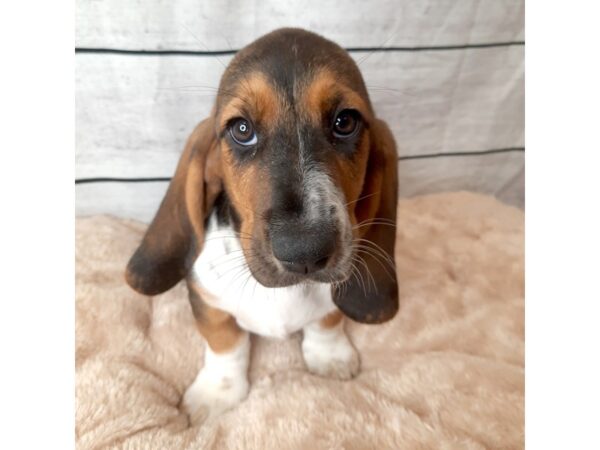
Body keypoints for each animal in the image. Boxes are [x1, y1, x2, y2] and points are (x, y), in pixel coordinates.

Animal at [125, 29, 398, 426]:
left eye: (345, 122)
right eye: (242, 129)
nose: (304, 251)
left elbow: (328, 319)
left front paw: (330, 356)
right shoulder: (207, 301)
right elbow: (225, 341)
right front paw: (217, 392)